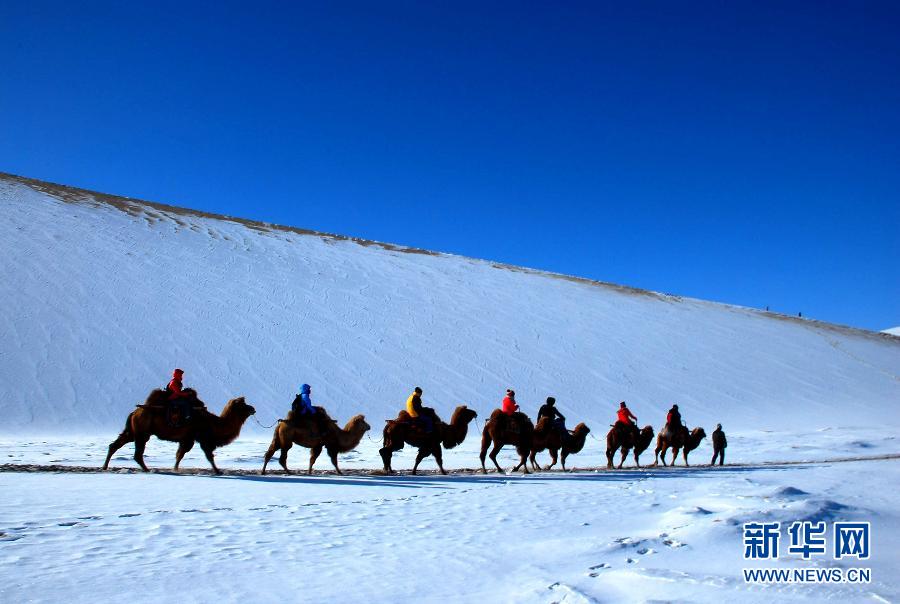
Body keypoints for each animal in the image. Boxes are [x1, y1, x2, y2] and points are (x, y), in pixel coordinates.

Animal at [103, 390, 256, 474]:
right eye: (242, 405)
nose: (253, 408)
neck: (213, 423)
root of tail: (134, 412)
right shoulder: (199, 438)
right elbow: (208, 456)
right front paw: (218, 471)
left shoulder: (187, 439)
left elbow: (179, 455)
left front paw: (175, 469)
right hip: (142, 433)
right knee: (137, 454)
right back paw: (147, 470)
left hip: (133, 431)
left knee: (116, 445)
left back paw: (105, 467)